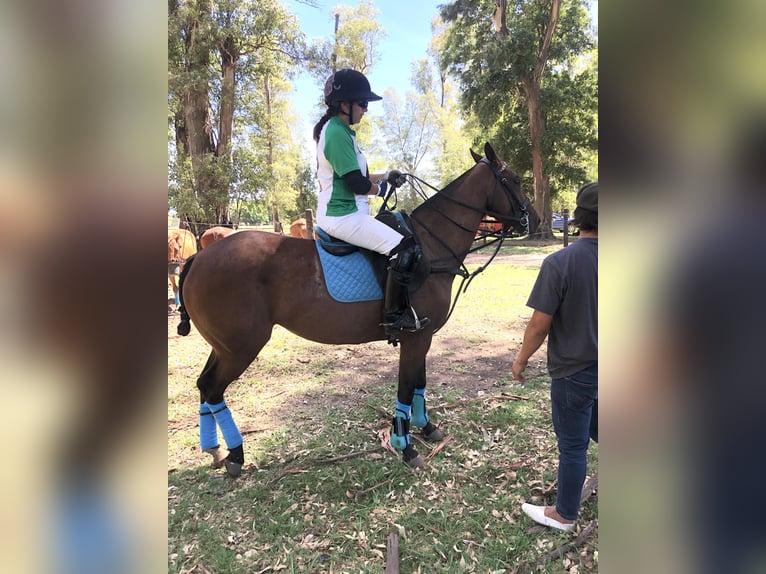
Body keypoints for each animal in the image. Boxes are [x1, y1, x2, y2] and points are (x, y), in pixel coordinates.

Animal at [176, 143, 539, 476]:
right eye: (515, 180)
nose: (534, 220)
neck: (430, 246)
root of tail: (197, 259)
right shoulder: (415, 336)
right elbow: (406, 386)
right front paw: (405, 446)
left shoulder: (424, 334)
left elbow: (419, 383)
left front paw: (427, 428)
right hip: (242, 346)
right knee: (213, 388)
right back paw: (235, 455)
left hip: (223, 346)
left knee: (204, 385)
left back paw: (214, 449)